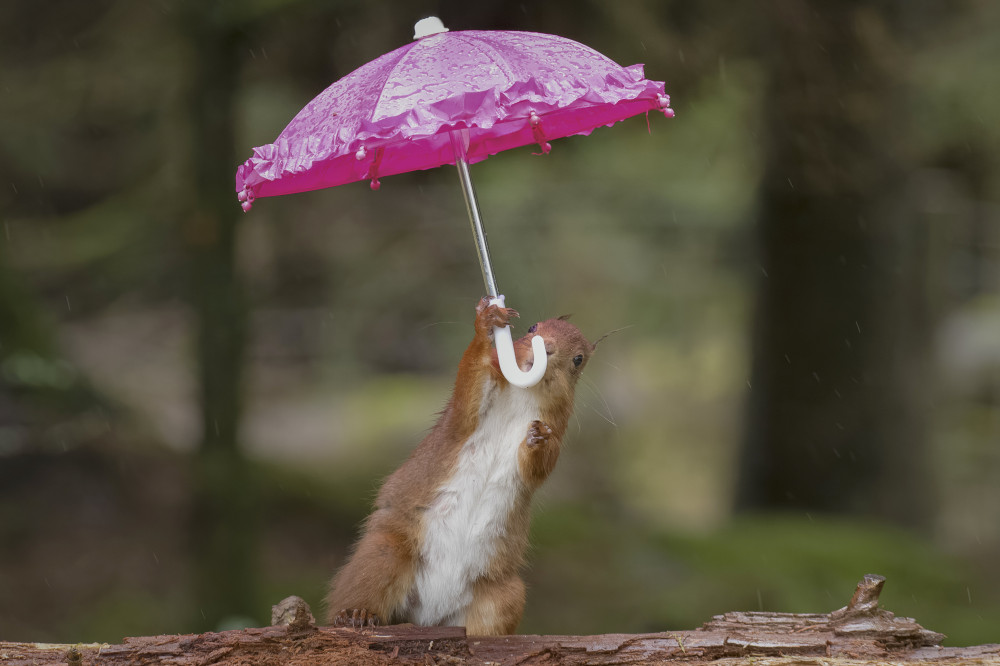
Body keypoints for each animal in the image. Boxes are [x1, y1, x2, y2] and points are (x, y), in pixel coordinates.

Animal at [326, 296, 592, 632]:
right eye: (533, 327)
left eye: (579, 360)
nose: (547, 346)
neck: (525, 394)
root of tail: (428, 615)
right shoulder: (463, 418)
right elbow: (467, 388)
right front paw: (487, 322)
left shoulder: (557, 427)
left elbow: (537, 469)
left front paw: (538, 440)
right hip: (383, 556)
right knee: (362, 587)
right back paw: (356, 614)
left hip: (504, 595)